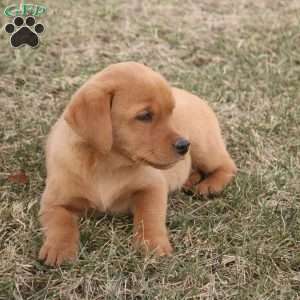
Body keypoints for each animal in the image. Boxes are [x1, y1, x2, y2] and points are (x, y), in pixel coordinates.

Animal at [38, 61, 237, 264]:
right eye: (145, 116)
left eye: (171, 113)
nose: (183, 145)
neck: (106, 163)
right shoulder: (54, 200)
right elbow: (59, 222)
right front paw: (59, 248)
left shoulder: (152, 186)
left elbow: (149, 215)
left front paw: (153, 243)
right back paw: (190, 180)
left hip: (203, 145)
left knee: (227, 165)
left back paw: (210, 185)